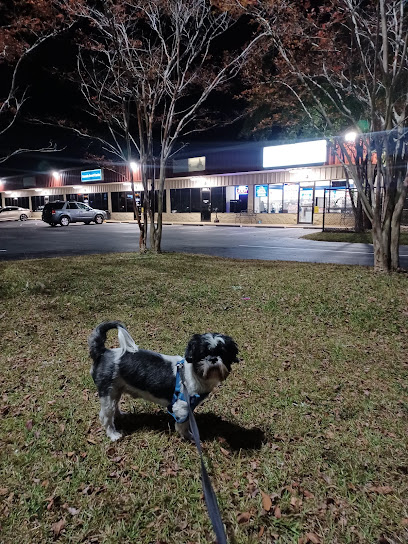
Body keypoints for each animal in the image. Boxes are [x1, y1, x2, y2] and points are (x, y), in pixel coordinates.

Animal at [87, 318, 237, 442]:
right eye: (202, 354)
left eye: (223, 353)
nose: (213, 359)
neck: (193, 374)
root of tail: (103, 352)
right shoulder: (182, 407)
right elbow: (183, 425)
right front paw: (189, 436)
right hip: (107, 392)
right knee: (106, 415)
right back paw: (113, 434)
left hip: (116, 390)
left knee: (115, 405)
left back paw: (120, 415)